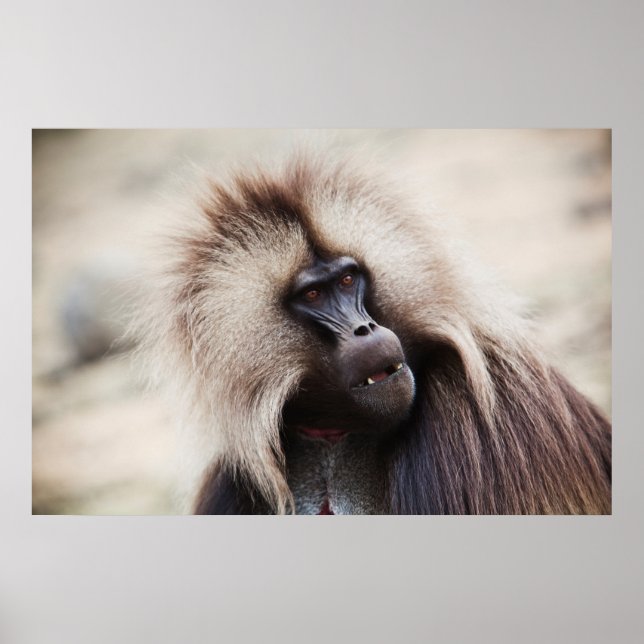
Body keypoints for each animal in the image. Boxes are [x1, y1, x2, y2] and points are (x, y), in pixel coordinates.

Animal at [141, 150, 611, 515]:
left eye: (348, 280)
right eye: (313, 294)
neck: (335, 431)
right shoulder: (234, 474)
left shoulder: (474, 410)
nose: (365, 329)